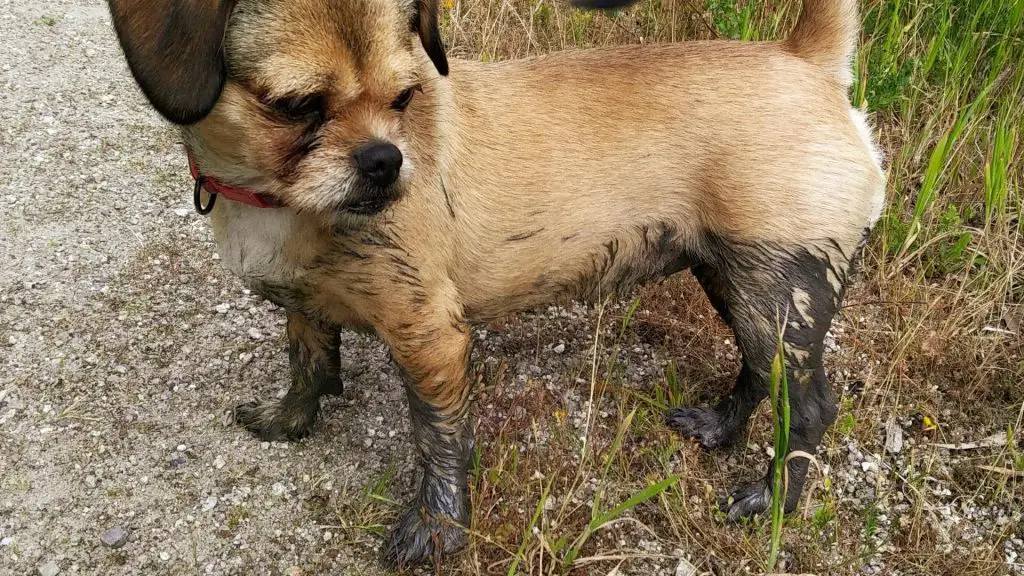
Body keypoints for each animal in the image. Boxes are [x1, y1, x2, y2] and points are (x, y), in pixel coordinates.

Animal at [105, 0, 888, 565]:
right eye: (297, 106)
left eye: (406, 97)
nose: (387, 161)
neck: (272, 199)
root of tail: (807, 60)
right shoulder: (304, 308)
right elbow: (308, 364)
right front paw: (288, 420)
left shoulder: (430, 337)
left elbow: (438, 438)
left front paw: (437, 527)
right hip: (736, 281)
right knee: (760, 374)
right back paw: (721, 428)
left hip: (776, 285)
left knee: (809, 407)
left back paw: (774, 499)